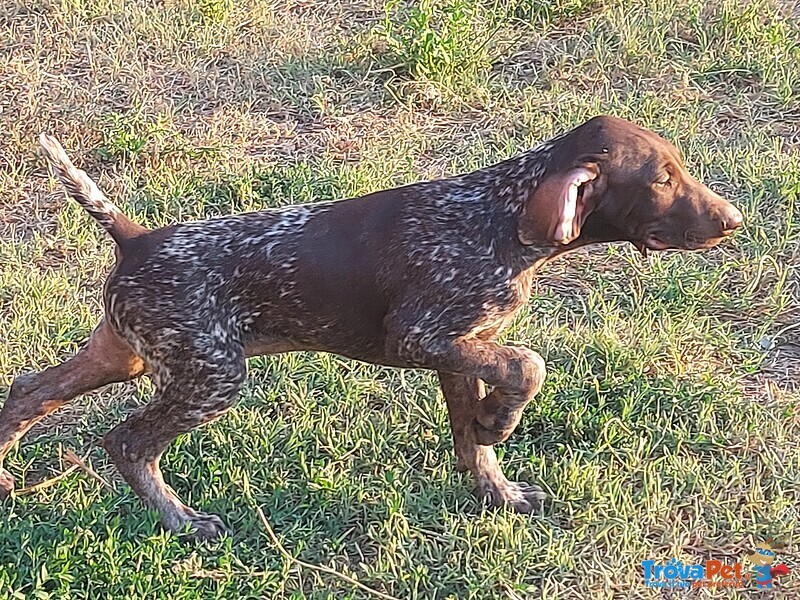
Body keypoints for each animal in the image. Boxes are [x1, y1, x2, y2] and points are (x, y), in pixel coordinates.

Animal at [0, 116, 744, 540]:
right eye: (664, 179)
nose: (734, 220)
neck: (500, 216)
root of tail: (137, 239)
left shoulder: (459, 347)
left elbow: (473, 437)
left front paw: (496, 486)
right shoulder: (419, 337)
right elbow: (527, 364)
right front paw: (501, 422)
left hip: (126, 354)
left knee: (27, 390)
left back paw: (6, 479)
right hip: (211, 375)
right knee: (126, 442)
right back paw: (182, 521)